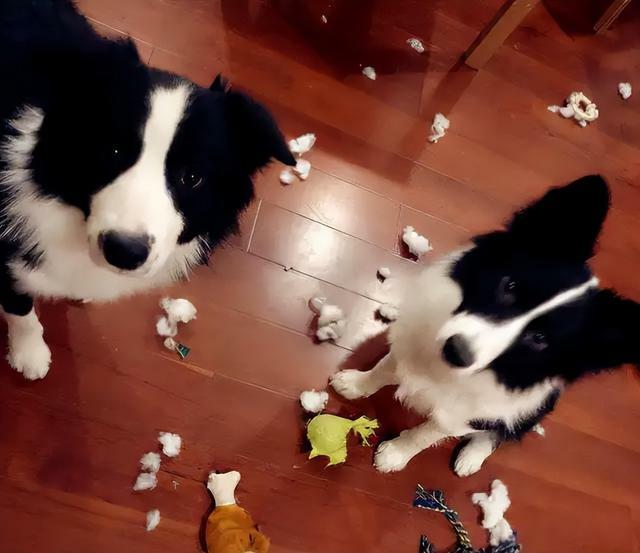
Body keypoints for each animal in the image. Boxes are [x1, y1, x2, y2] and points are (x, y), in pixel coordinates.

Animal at [332, 175, 639, 476]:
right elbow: (384, 368)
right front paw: (356, 384)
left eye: (540, 338)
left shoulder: (463, 413)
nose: (456, 352)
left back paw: (472, 456)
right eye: (510, 286)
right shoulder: (410, 342)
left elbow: (427, 434)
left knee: (498, 431)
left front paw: (396, 454)